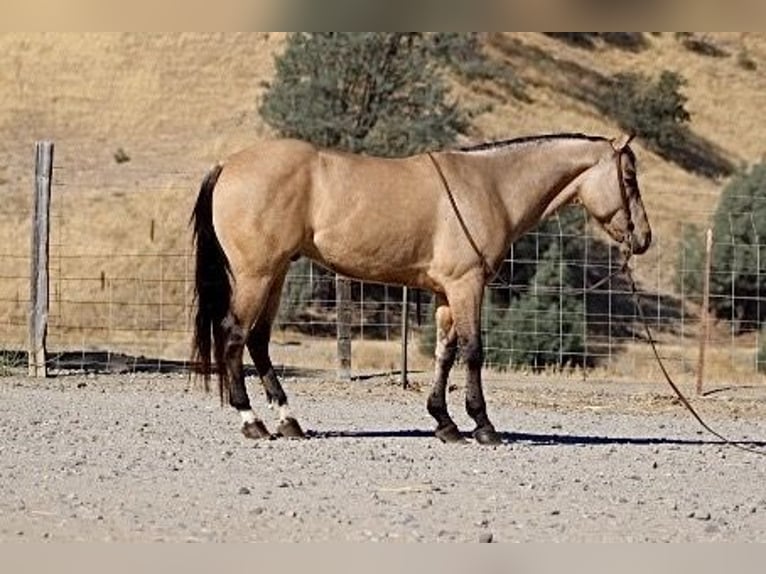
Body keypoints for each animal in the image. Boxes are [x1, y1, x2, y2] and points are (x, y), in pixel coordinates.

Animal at [190, 132, 651, 445]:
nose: (644, 238)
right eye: (629, 178)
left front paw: (445, 424)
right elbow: (473, 350)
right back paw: (252, 421)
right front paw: (483, 425)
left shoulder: (446, 293)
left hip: (275, 274)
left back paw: (288, 421)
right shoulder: (467, 285)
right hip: (257, 274)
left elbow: (445, 353)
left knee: (258, 341)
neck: (491, 186)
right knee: (234, 335)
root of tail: (227, 164)